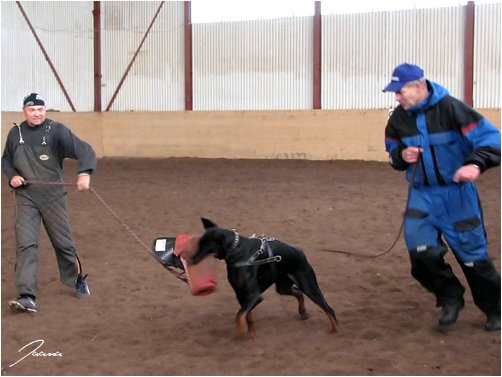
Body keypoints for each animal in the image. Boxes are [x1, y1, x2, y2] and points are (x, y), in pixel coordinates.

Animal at [189, 217, 342, 338]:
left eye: (205, 245)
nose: (190, 259)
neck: (237, 252)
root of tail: (301, 253)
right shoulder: (241, 294)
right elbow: (247, 315)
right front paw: (250, 333)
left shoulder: (254, 295)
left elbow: (239, 314)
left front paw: (238, 332)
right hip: (282, 287)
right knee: (298, 293)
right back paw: (303, 313)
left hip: (308, 285)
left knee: (328, 308)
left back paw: (336, 331)